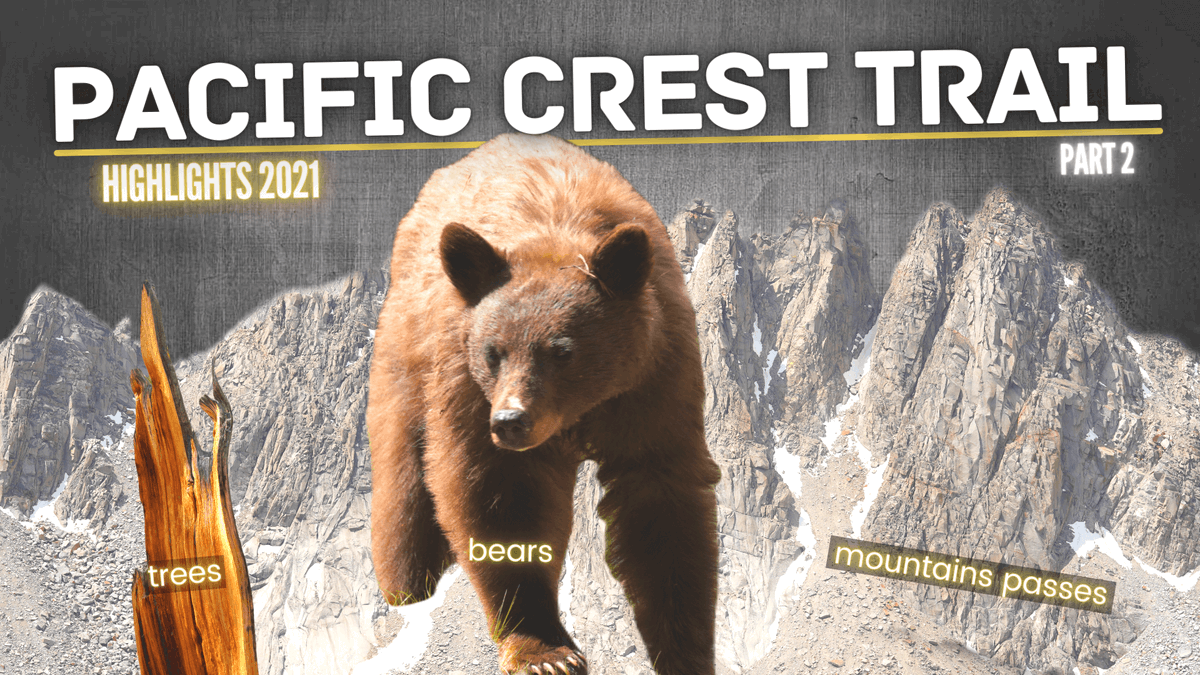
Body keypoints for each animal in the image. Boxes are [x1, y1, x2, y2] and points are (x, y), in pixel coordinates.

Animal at [368, 134, 721, 675]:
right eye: (493, 352)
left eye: (562, 350)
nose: (510, 422)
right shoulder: (467, 386)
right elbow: (499, 497)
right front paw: (544, 650)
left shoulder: (654, 378)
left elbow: (661, 500)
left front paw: (683, 648)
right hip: (408, 353)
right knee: (403, 469)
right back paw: (405, 583)